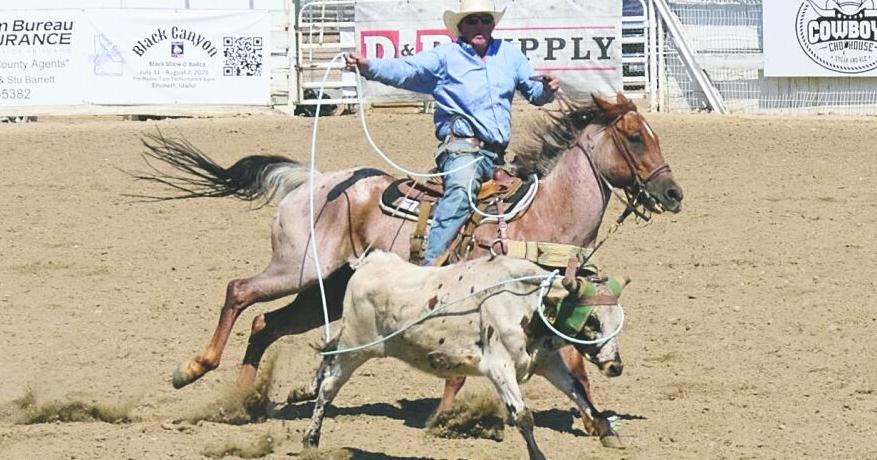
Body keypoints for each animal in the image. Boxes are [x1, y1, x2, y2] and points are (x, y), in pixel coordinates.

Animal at [303, 251, 629, 460]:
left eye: (616, 320)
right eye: (592, 321)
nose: (615, 366)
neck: (524, 301)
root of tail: (371, 262)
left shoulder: (547, 362)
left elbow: (577, 391)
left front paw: (608, 432)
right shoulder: (499, 368)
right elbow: (523, 416)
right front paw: (538, 454)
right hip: (356, 346)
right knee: (328, 387)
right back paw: (310, 439)